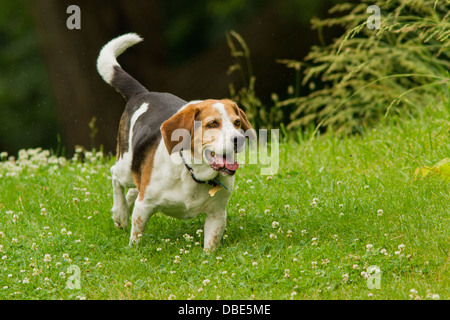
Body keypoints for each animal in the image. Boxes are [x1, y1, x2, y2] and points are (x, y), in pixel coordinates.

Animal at [96, 33, 255, 251]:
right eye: (212, 124)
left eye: (237, 122)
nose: (238, 139)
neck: (193, 173)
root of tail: (142, 93)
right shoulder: (144, 206)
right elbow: (136, 237)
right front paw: (133, 251)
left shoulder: (217, 215)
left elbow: (210, 246)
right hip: (126, 165)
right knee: (115, 176)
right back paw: (120, 214)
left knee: (133, 189)